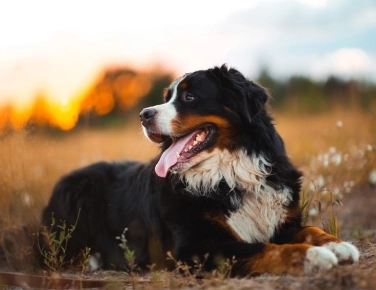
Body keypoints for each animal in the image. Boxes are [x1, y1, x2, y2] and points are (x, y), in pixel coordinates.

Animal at [40, 64, 358, 276]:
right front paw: (313, 256)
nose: (143, 115)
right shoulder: (197, 245)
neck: (230, 174)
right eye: (167, 97)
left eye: (189, 97)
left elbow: (311, 229)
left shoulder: (282, 221)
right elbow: (266, 248)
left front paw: (338, 246)